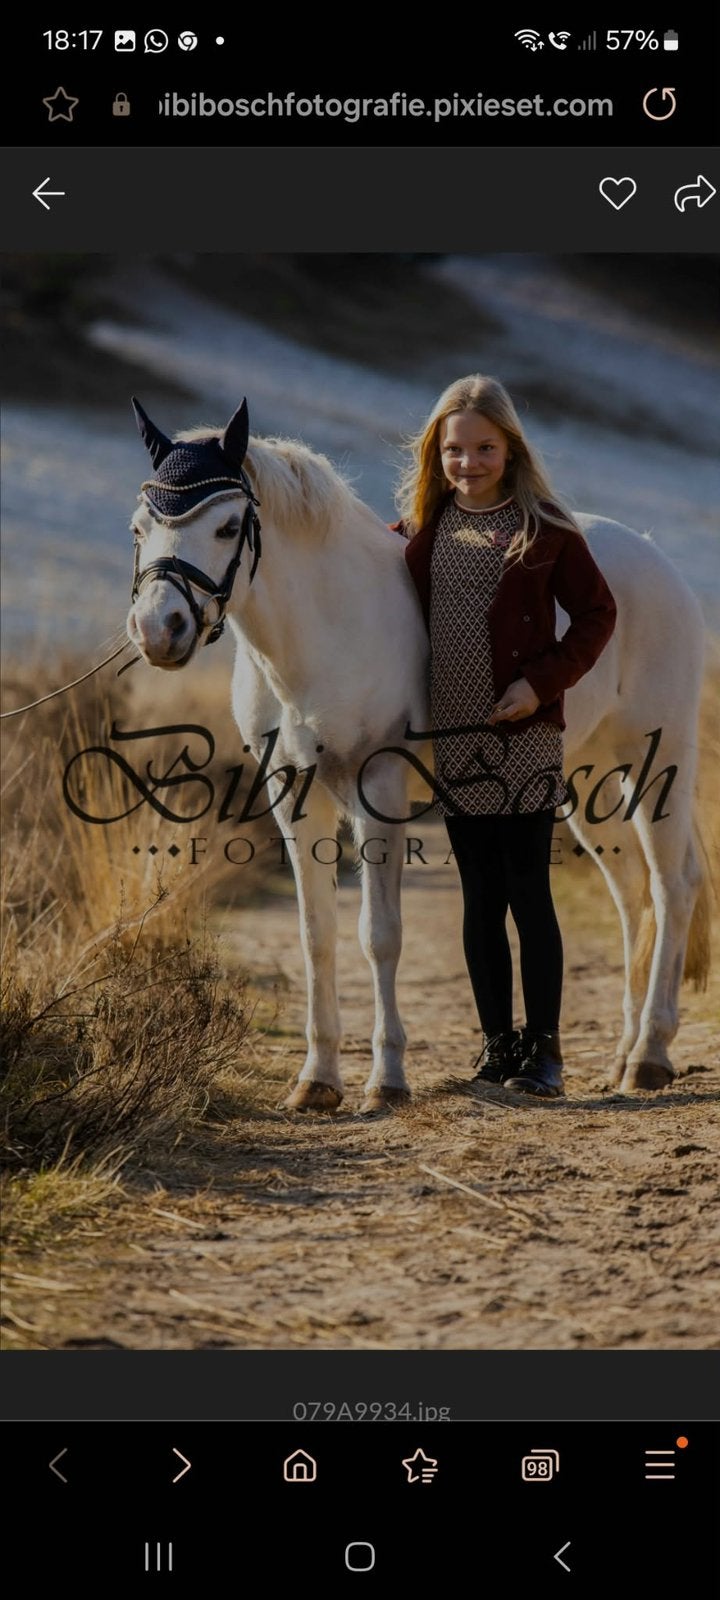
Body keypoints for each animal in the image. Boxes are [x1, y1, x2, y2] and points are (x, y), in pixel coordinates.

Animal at [126, 397, 710, 1111]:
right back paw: (623, 1055)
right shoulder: (295, 795)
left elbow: (378, 935)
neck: (330, 629)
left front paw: (386, 1079)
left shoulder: (376, 788)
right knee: (633, 896)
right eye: (138, 528)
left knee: (674, 886)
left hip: (657, 766)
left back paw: (650, 1056)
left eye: (228, 525)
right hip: (587, 777)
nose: (159, 630)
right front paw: (316, 1080)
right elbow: (317, 935)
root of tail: (658, 561)